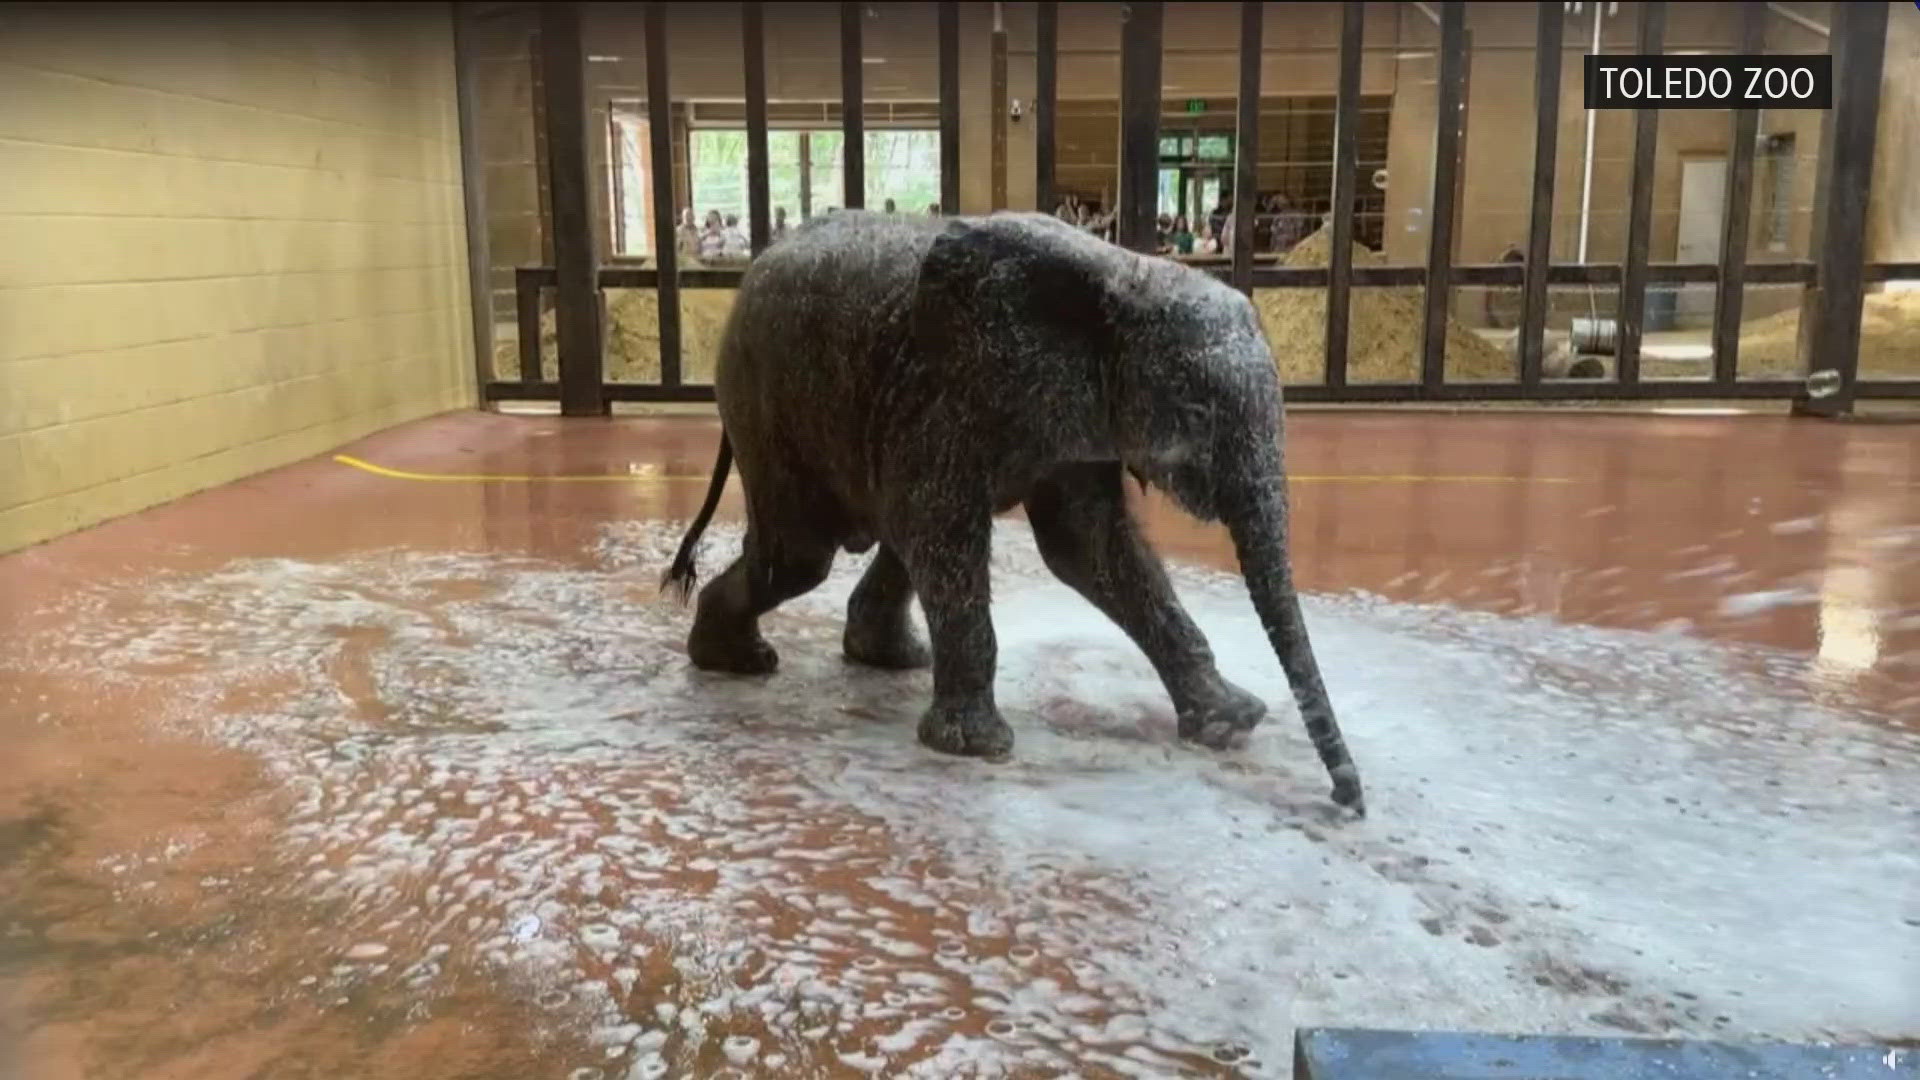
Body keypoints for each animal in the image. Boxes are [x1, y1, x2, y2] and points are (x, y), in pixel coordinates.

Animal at [664, 210, 1367, 810]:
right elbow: (949, 530)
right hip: (768, 397)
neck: (1126, 277)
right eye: (1196, 416)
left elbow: (1088, 546)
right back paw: (737, 662)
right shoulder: (944, 391)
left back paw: (881, 658)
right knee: (802, 555)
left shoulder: (1080, 409)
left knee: (875, 541)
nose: (1347, 799)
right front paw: (979, 750)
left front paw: (1229, 725)